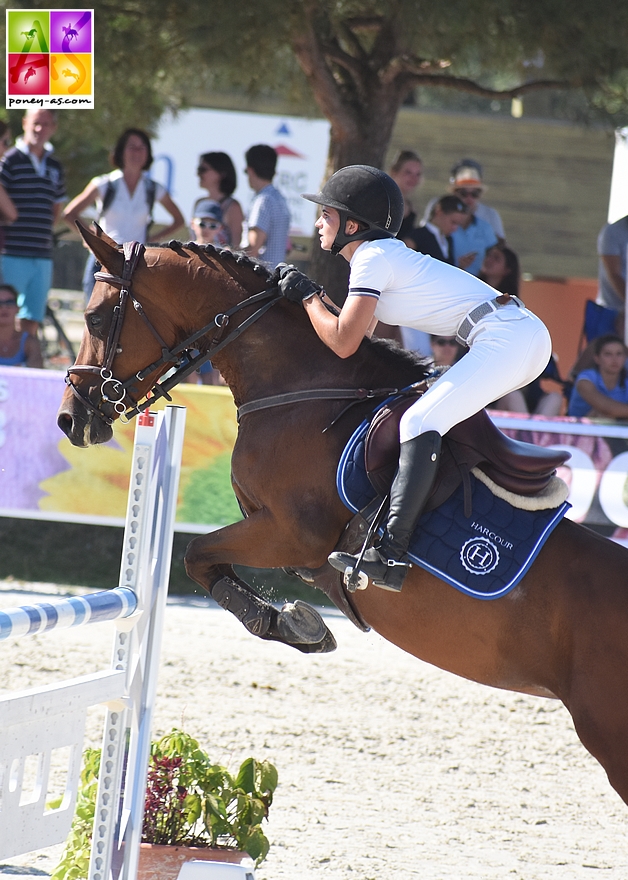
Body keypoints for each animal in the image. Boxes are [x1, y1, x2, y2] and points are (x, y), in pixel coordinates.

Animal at [56, 223, 628, 808]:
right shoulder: (281, 540)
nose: (70, 419)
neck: (301, 393)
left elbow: (196, 555)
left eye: (96, 318)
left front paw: (285, 621)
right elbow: (210, 561)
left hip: (609, 735)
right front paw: (295, 622)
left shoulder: (291, 534)